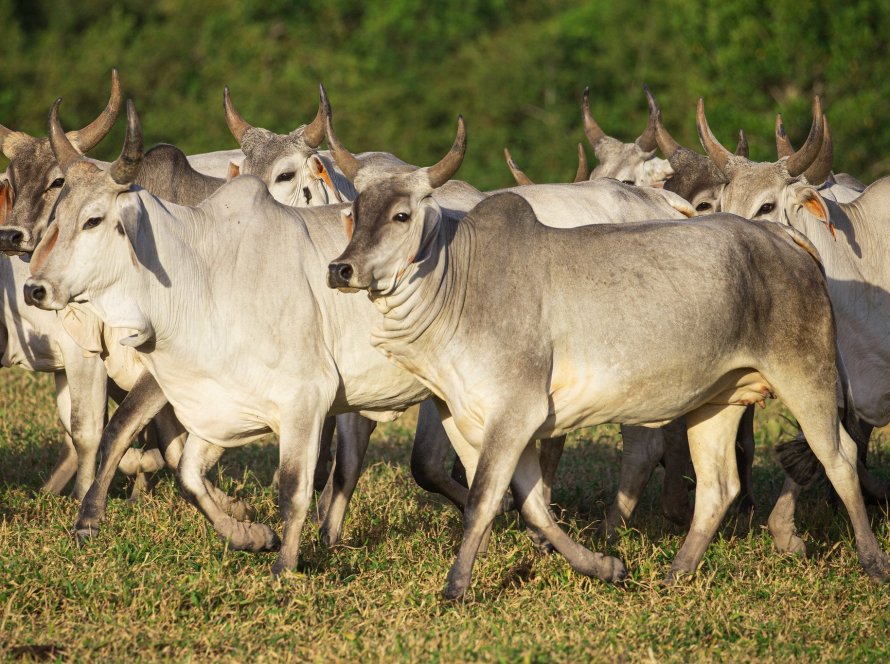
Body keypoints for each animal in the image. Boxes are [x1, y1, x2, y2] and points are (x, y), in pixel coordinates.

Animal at [328, 116, 888, 600]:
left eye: (402, 215)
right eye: (354, 213)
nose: (341, 269)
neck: (461, 282)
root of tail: (783, 237)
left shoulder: (515, 413)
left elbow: (483, 500)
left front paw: (456, 585)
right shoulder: (472, 416)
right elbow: (532, 507)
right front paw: (603, 566)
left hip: (808, 375)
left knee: (838, 457)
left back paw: (871, 560)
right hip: (719, 399)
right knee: (719, 485)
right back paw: (677, 571)